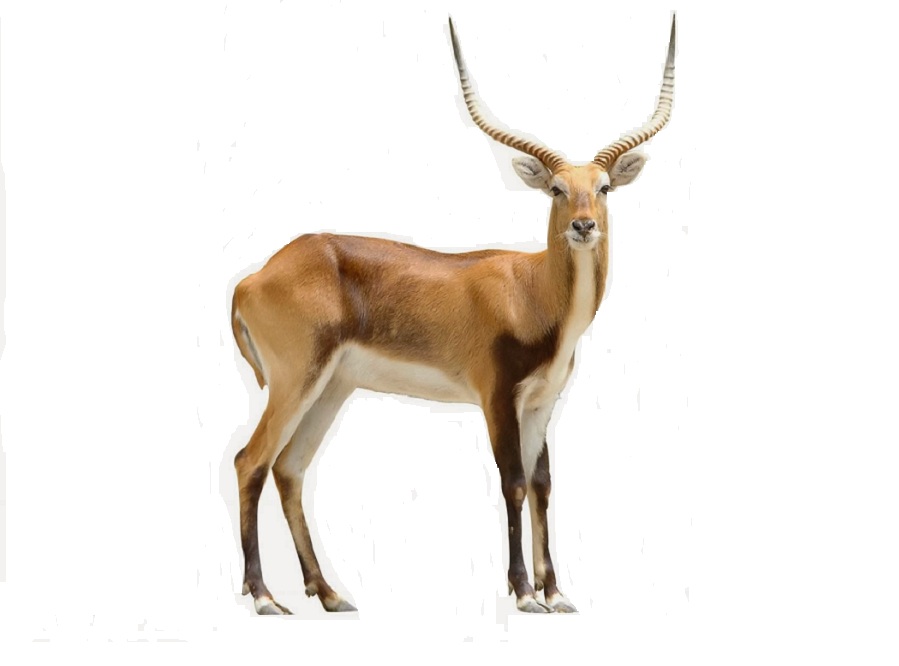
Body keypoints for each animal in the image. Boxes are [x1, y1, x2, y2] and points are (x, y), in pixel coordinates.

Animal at [230, 14, 676, 615]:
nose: (583, 226)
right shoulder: (496, 396)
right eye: (556, 189)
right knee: (249, 462)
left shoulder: (542, 402)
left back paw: (328, 594)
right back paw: (263, 598)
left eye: (603, 188)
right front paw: (524, 594)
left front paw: (556, 593)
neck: (533, 291)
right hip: (294, 380)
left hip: (330, 388)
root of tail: (254, 277)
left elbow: (543, 484)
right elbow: (513, 481)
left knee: (289, 468)